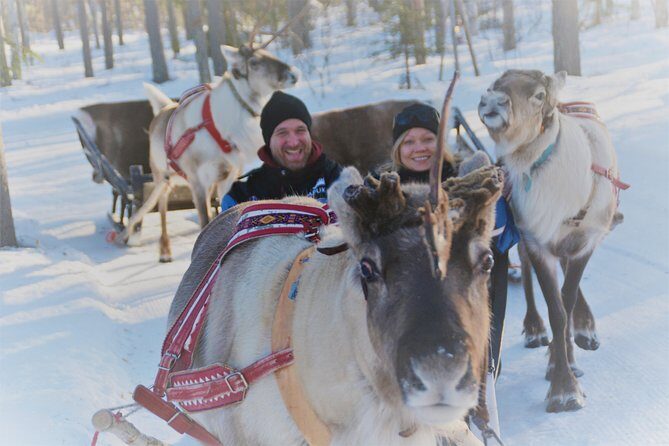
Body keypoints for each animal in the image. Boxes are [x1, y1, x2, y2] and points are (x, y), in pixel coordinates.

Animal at [478, 69, 628, 412]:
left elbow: (567, 300)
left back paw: (585, 329)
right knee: (528, 276)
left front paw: (567, 368)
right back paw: (535, 329)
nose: (492, 100)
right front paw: (563, 385)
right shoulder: (536, 240)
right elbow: (555, 310)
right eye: (494, 84)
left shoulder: (586, 239)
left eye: (538, 94)